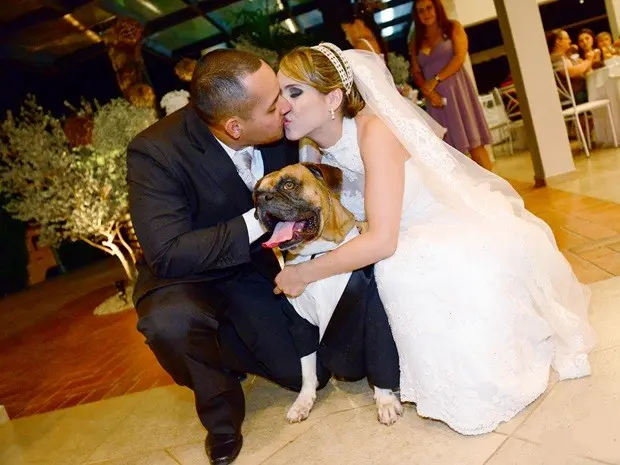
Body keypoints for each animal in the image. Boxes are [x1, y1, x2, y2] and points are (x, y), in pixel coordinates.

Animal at [252, 162, 402, 424]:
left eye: (288, 184)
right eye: (256, 192)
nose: (261, 199)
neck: (317, 255)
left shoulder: (375, 315)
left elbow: (380, 358)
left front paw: (385, 400)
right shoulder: (300, 324)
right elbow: (307, 368)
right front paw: (304, 400)